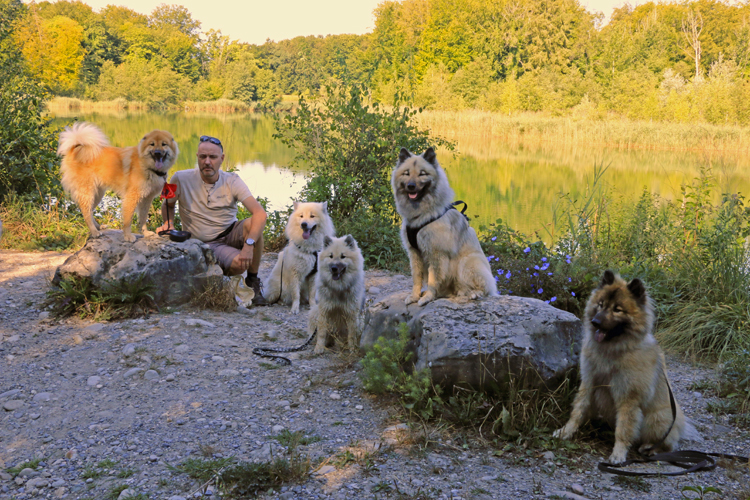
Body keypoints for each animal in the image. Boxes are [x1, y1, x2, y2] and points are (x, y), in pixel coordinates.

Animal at [556, 272, 704, 462]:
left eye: (617, 309)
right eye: (601, 305)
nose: (596, 322)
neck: (612, 350)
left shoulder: (628, 397)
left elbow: (624, 429)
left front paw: (618, 453)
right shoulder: (589, 382)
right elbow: (578, 411)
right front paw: (565, 432)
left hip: (657, 418)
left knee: (667, 444)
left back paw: (650, 449)